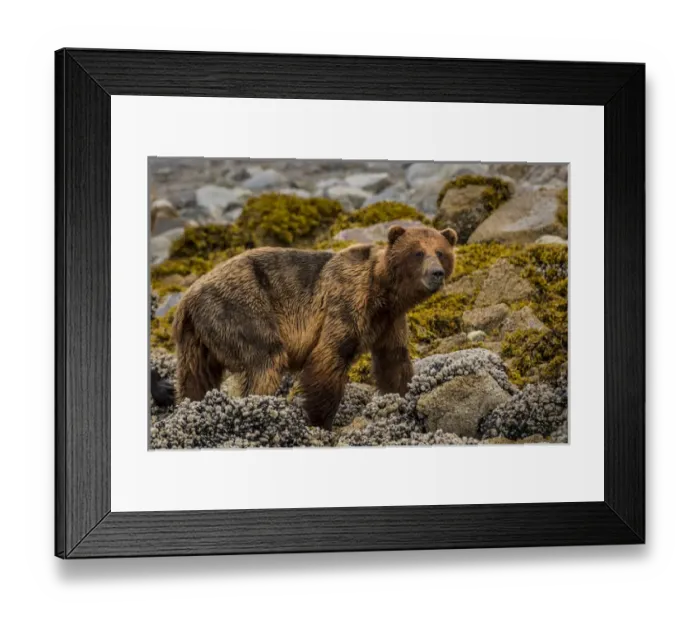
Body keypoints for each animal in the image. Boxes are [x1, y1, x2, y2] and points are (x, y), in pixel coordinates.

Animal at [172, 225, 458, 429]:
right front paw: (319, 419)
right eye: (417, 253)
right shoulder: (346, 305)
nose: (436, 273)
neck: (383, 293)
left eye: (440, 252)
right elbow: (329, 357)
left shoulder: (389, 323)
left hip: (197, 338)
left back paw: (192, 406)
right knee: (266, 360)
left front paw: (404, 398)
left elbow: (394, 362)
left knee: (195, 378)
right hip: (241, 309)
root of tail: (187, 299)